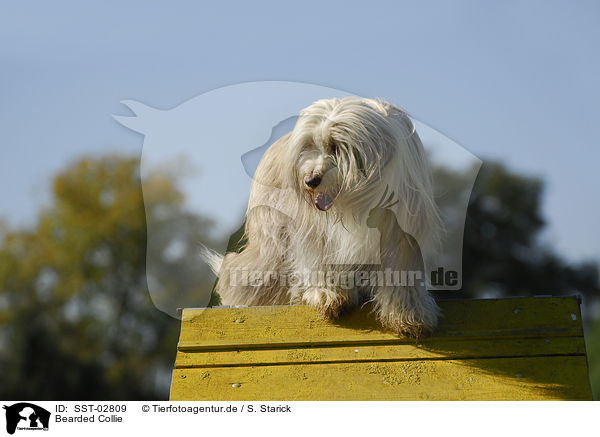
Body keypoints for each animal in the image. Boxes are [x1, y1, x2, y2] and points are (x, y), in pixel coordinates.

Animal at [204, 97, 442, 336]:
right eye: (307, 146)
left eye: (336, 146)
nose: (311, 180)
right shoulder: (312, 227)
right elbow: (319, 256)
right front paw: (327, 293)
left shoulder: (401, 226)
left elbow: (401, 266)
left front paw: (408, 314)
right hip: (271, 241)